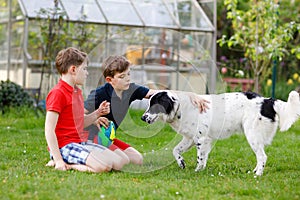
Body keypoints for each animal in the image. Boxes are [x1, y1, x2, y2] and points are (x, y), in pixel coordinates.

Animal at [141, 90, 300, 175]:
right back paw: (254, 171)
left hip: (252, 135)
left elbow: (200, 158)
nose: (143, 118)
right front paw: (182, 163)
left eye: (154, 105)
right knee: (260, 156)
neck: (180, 107)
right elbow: (175, 150)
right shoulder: (191, 138)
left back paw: (258, 175)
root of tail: (267, 100)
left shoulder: (201, 139)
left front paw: (197, 171)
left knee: (262, 156)